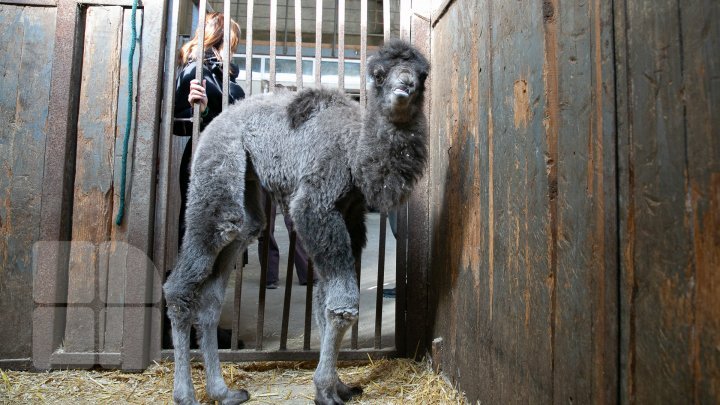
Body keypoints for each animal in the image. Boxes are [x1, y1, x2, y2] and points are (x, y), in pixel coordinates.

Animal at [165, 38, 428, 404]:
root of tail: (214, 123)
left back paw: (224, 391)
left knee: (218, 285)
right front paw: (325, 390)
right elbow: (341, 305)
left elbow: (322, 300)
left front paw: (339, 385)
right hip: (218, 169)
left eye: (423, 74)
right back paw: (185, 394)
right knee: (185, 279)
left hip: (247, 190)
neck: (355, 151)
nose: (406, 86)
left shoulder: (351, 215)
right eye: (378, 74)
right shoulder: (315, 206)